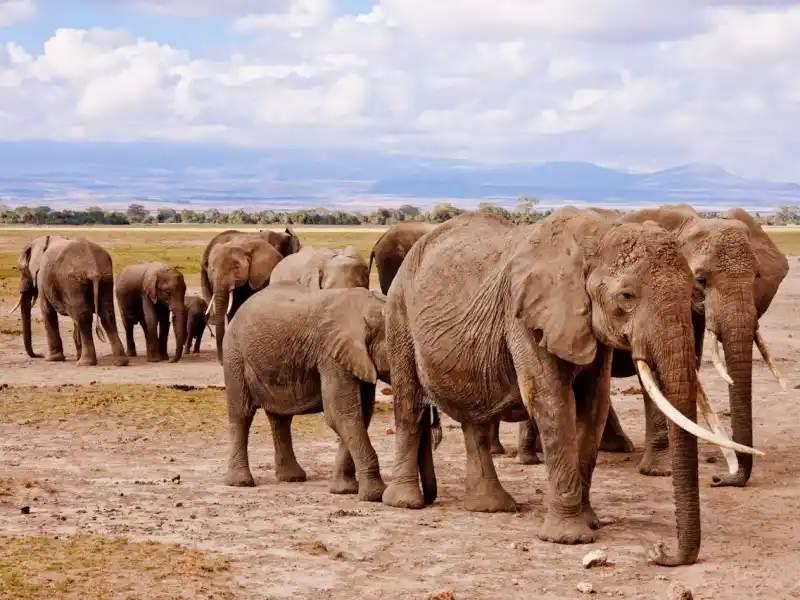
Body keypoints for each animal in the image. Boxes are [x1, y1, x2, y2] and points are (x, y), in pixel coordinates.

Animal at [10, 235, 128, 367]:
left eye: (21, 270)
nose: (40, 355)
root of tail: (93, 266)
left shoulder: (43, 279)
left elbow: (47, 311)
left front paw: (52, 359)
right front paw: (75, 356)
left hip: (73, 281)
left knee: (83, 317)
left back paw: (84, 362)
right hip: (106, 279)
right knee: (107, 315)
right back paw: (120, 362)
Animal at [222, 283, 390, 502]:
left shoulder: (355, 359)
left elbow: (360, 415)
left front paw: (344, 490)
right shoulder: (331, 355)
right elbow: (341, 414)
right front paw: (376, 495)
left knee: (280, 418)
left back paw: (292, 478)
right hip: (234, 356)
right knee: (241, 414)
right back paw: (240, 483)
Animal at [382, 208, 760, 566]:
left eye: (693, 289)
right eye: (626, 296)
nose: (660, 551)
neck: (596, 236)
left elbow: (594, 405)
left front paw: (591, 521)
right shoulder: (525, 316)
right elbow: (552, 402)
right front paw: (569, 538)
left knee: (475, 419)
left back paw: (490, 507)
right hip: (398, 312)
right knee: (409, 403)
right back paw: (406, 502)